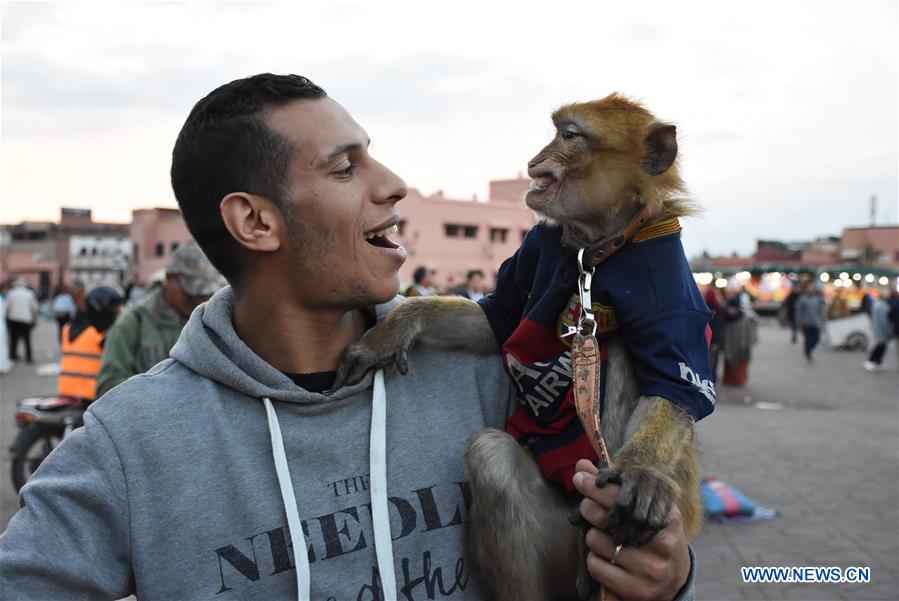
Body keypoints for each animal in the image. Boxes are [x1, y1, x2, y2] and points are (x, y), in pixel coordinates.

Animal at [334, 94, 712, 600]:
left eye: (569, 136)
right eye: (554, 132)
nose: (536, 158)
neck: (593, 251)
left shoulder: (668, 280)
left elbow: (675, 387)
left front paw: (644, 473)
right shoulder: (538, 244)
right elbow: (496, 322)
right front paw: (394, 331)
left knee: (623, 353)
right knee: (492, 457)